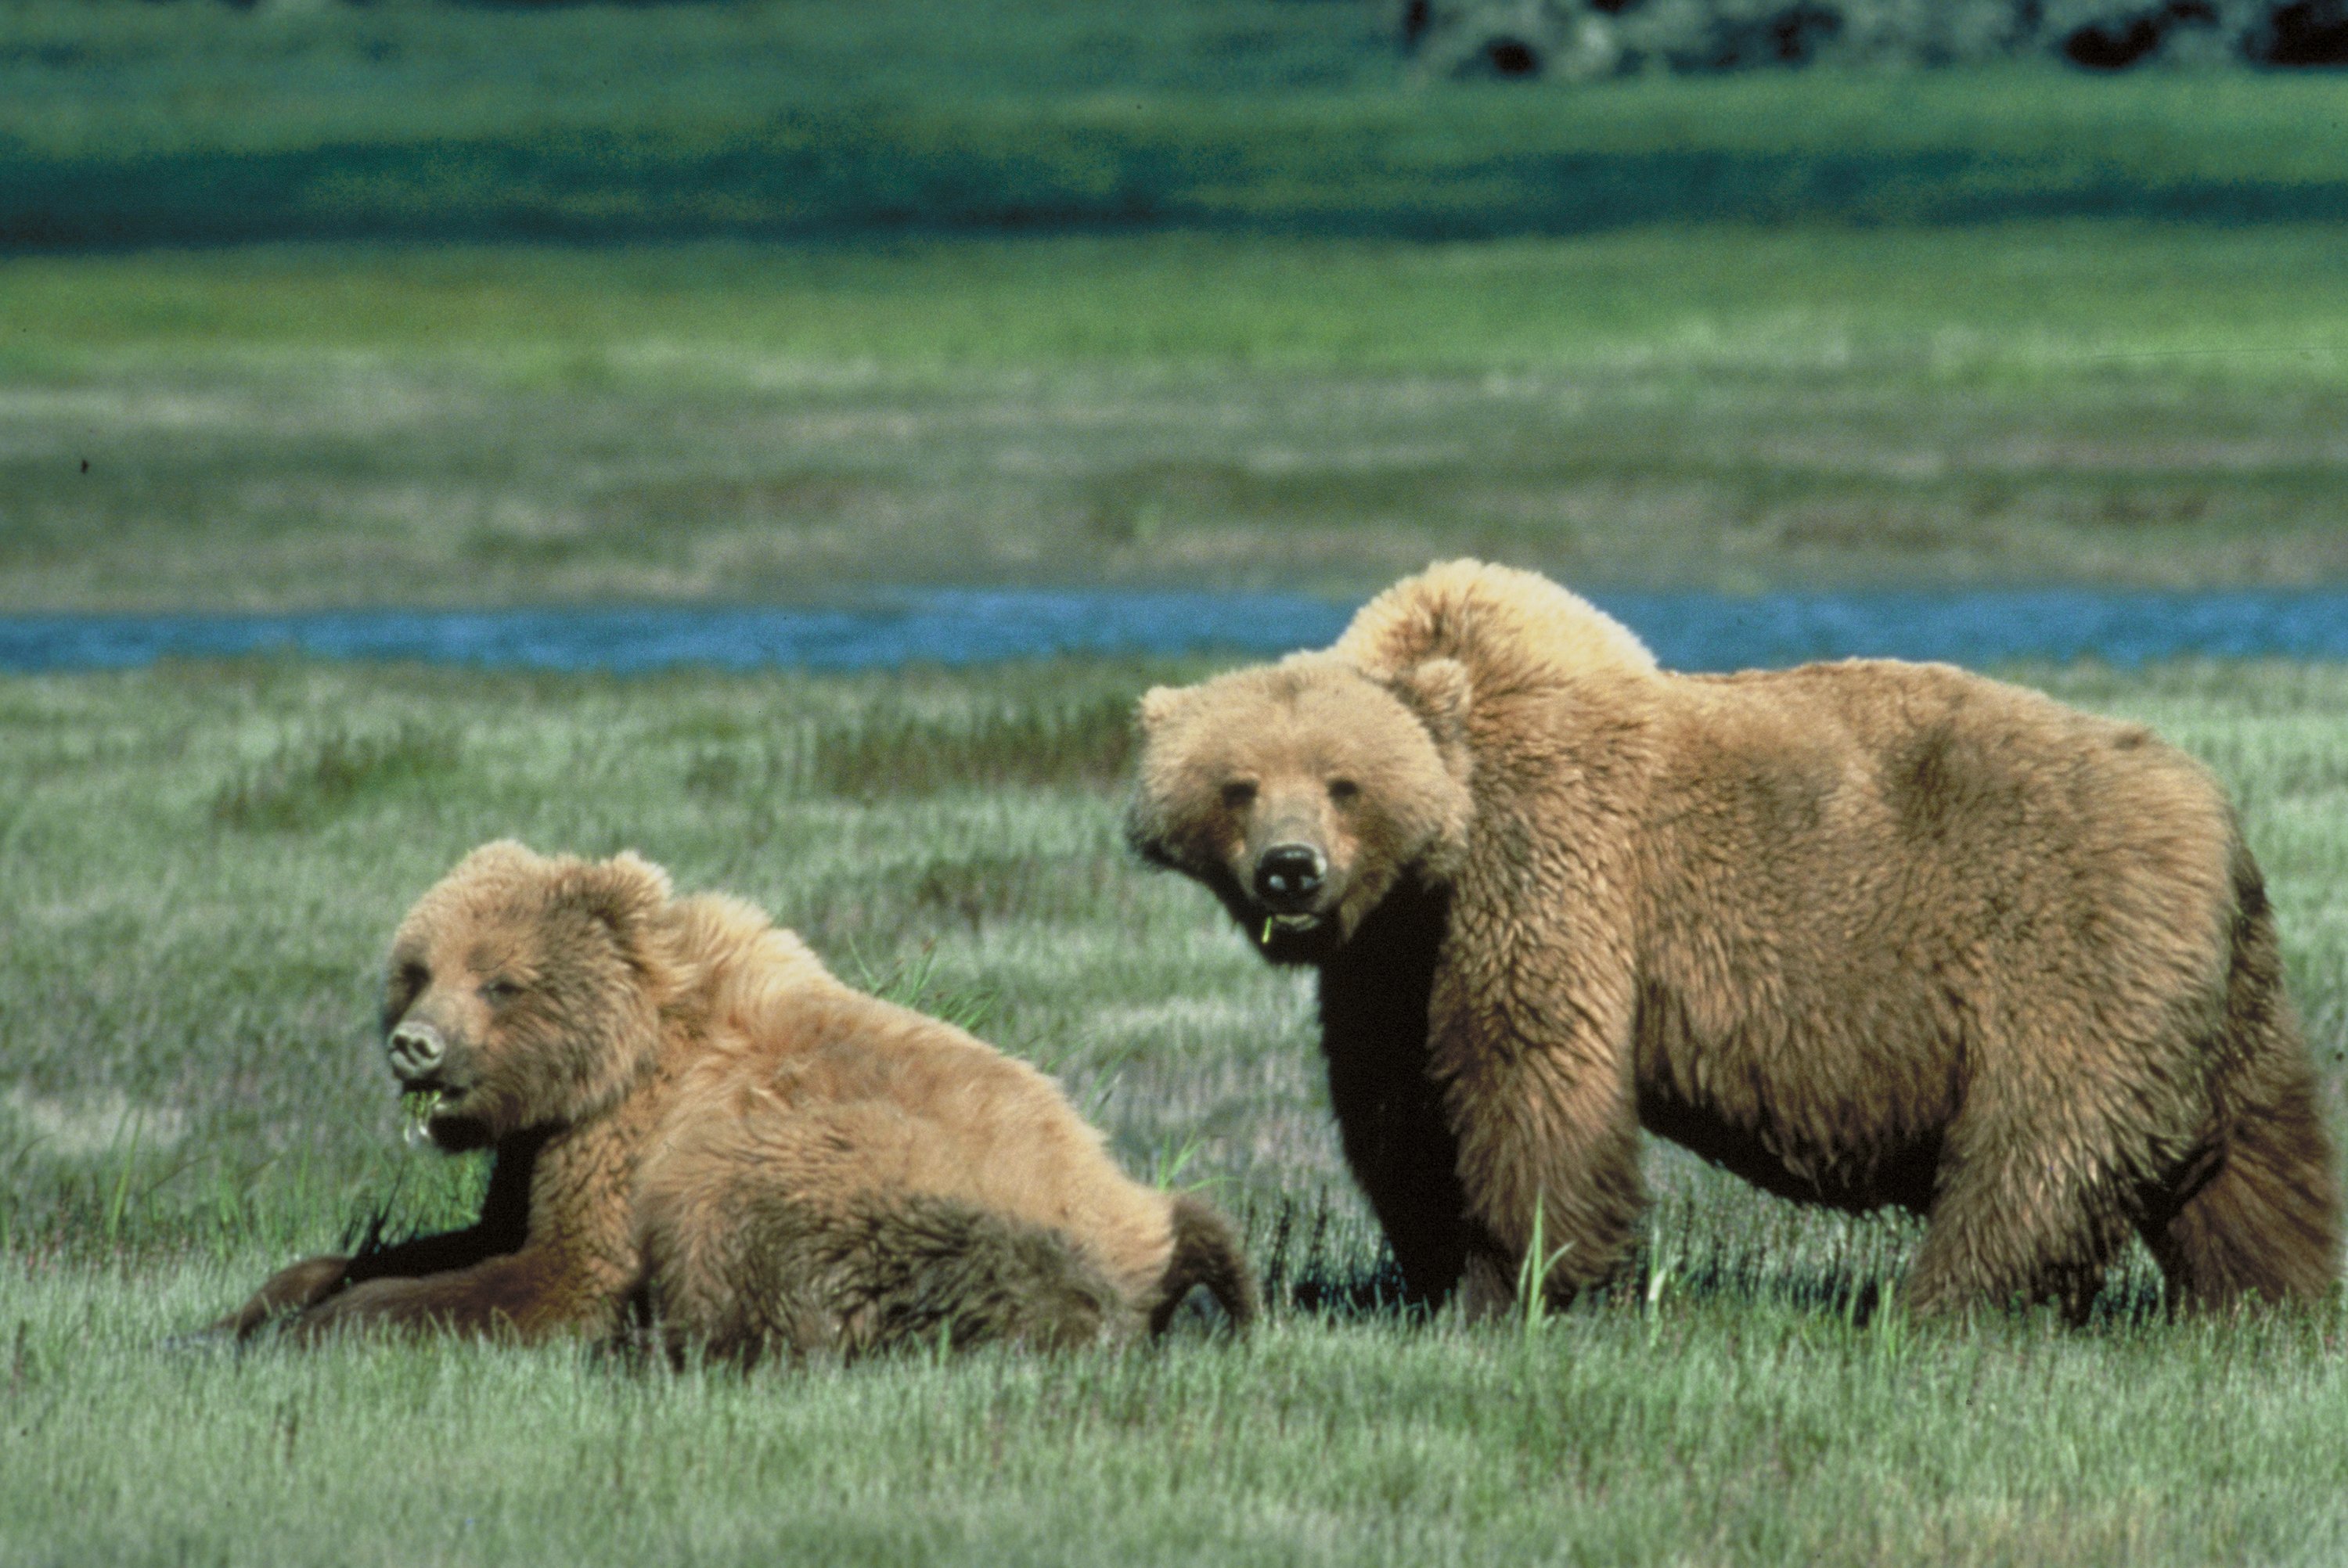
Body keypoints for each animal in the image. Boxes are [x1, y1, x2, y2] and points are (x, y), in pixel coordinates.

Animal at [216, 845, 1249, 1361]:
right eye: (418, 968)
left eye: (500, 981)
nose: (416, 1044)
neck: (615, 1057)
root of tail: (1146, 1222)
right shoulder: (543, 1143)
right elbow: (474, 1236)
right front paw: (261, 1305)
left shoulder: (628, 1139)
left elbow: (560, 1272)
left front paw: (335, 1323)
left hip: (896, 1180)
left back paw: (652, 1348)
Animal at [1127, 556, 2339, 1314]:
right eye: (1237, 785)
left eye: (1345, 782)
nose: (1293, 869)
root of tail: (2214, 813)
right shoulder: (1390, 955)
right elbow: (1397, 1108)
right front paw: (1437, 1270)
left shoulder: (1547, 871)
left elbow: (1531, 1076)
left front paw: (1525, 1281)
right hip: (2217, 988)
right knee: (2253, 1152)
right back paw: (2269, 1302)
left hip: (2064, 944)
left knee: (2042, 1150)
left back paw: (1938, 1307)